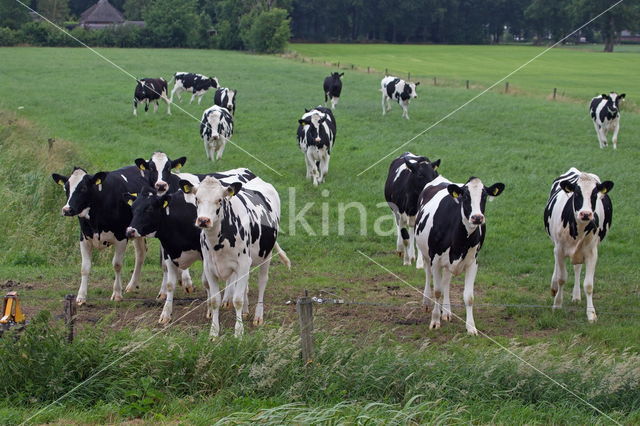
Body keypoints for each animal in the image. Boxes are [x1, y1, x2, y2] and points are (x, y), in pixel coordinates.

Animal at [51, 165, 150, 304]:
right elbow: (85, 267)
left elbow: (117, 264)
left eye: (83, 188)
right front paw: (81, 296)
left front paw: (117, 293)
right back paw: (131, 285)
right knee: (141, 253)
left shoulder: (121, 237)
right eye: (66, 188)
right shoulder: (84, 238)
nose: (66, 210)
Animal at [124, 168, 256, 324]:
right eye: (132, 209)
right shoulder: (169, 253)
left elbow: (206, 283)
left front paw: (210, 311)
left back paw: (233, 302)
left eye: (149, 209)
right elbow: (170, 284)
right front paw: (165, 314)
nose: (130, 231)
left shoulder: (206, 254)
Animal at [180, 176, 290, 336]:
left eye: (219, 200)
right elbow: (215, 300)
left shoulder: (243, 264)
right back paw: (245, 311)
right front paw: (214, 332)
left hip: (266, 254)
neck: (218, 243)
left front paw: (238, 332)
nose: (203, 220)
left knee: (262, 282)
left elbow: (237, 300)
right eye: (197, 199)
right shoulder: (209, 267)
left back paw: (258, 316)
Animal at [416, 175, 504, 334]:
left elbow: (469, 297)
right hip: (426, 254)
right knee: (428, 275)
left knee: (446, 281)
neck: (460, 240)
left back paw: (447, 311)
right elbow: (437, 291)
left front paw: (471, 327)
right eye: (465, 196)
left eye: (484, 196)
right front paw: (435, 321)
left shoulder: (473, 263)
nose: (477, 218)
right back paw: (426, 302)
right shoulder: (435, 260)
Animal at [544, 168, 616, 322]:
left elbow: (588, 285)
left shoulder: (592, 253)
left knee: (577, 268)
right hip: (556, 245)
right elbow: (562, 278)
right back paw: (554, 287)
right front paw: (557, 305)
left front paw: (591, 314)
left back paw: (576, 296)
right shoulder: (560, 249)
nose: (586, 214)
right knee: (557, 265)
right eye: (577, 193)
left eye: (595, 194)